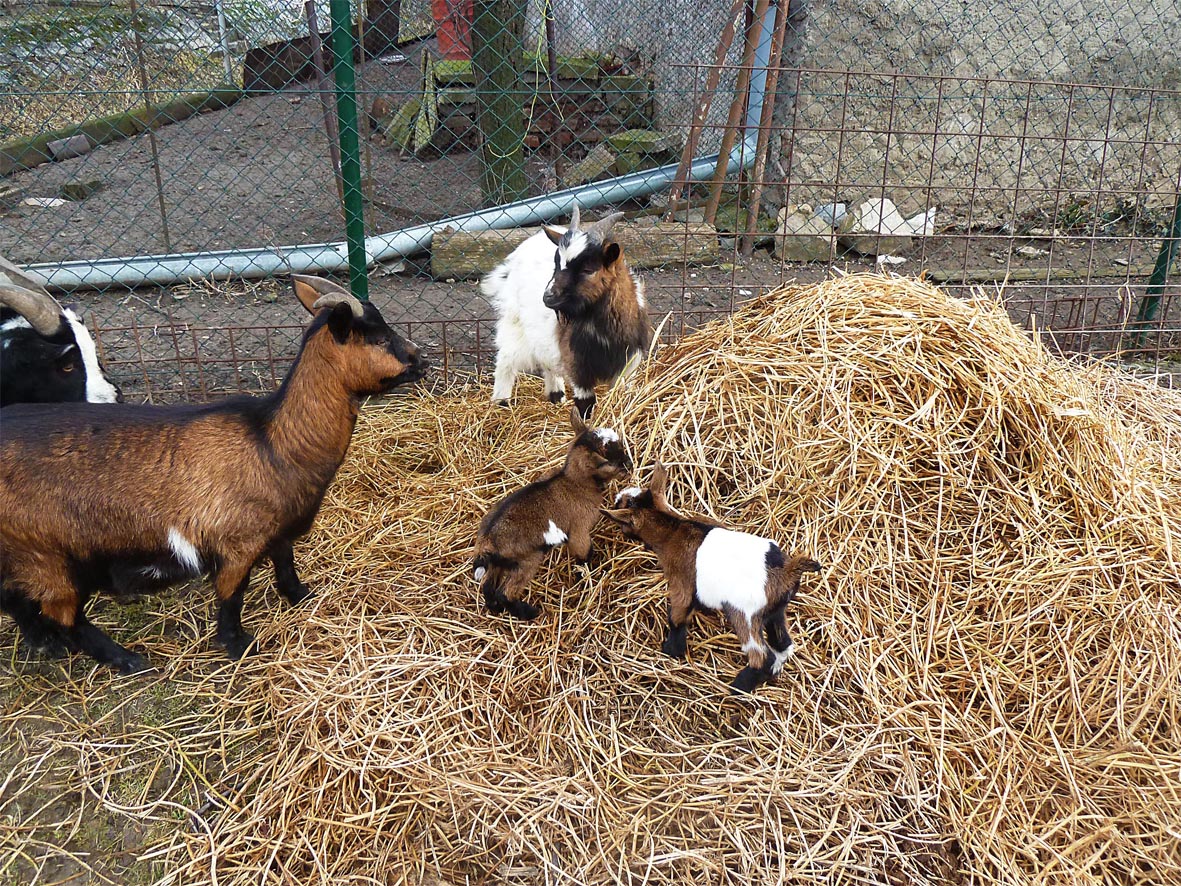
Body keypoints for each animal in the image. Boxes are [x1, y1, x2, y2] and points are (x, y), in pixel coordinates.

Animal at [477, 206, 651, 418]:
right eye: (557, 264)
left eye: (587, 269)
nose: (548, 297)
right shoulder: (577, 366)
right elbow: (586, 404)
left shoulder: (628, 365)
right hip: (513, 320)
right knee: (506, 359)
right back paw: (501, 403)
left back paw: (556, 395)